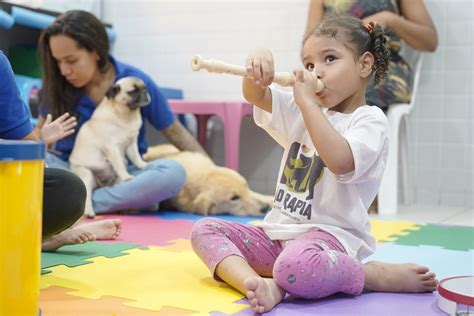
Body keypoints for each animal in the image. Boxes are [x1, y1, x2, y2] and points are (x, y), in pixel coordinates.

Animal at [69, 76, 151, 217]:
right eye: (132, 91)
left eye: (145, 88)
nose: (145, 93)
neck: (126, 115)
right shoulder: (111, 148)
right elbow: (118, 163)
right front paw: (127, 176)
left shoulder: (131, 144)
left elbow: (135, 156)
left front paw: (141, 165)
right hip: (86, 174)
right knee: (87, 195)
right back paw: (89, 212)